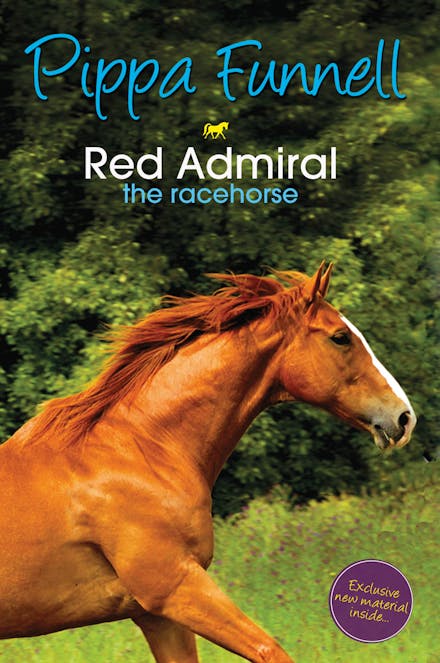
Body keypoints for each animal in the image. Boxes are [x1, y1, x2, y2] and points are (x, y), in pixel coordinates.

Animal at [0, 263, 416, 663]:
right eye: (340, 337)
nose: (404, 417)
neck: (141, 450)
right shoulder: (175, 587)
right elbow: (270, 650)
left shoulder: (157, 615)